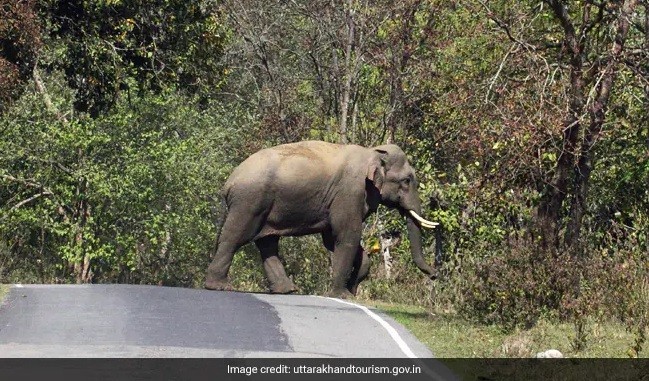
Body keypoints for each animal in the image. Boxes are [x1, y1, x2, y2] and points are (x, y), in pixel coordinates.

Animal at [205, 140, 438, 296]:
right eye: (406, 181)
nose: (435, 275)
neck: (372, 151)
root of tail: (228, 183)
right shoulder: (350, 192)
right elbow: (346, 235)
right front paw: (341, 295)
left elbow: (332, 240)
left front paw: (351, 290)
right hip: (249, 201)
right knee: (236, 237)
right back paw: (219, 286)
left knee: (267, 243)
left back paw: (288, 290)